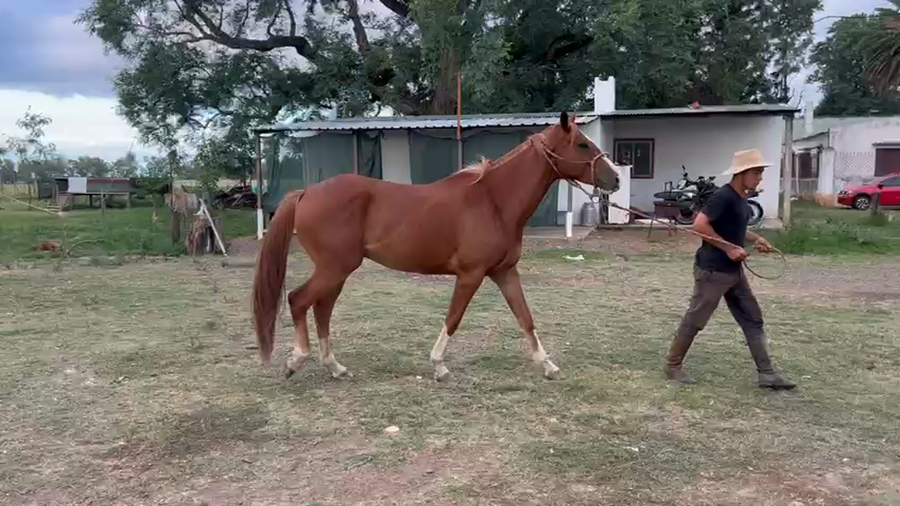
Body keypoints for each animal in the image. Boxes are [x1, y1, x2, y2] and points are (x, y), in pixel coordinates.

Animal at [252, 111, 622, 382]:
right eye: (582, 144)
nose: (615, 179)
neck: (494, 201)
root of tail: (305, 193)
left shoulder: (504, 272)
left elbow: (525, 317)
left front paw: (547, 365)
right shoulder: (471, 275)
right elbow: (454, 318)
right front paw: (439, 366)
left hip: (337, 271)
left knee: (321, 308)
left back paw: (335, 367)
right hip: (334, 268)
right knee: (298, 300)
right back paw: (296, 361)